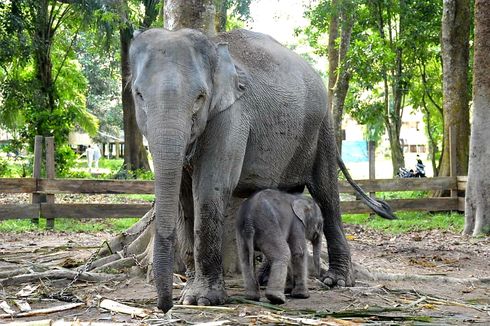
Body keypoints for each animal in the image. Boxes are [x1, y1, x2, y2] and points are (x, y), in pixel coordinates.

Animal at [129, 27, 394, 310]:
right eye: (138, 95)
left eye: (200, 97)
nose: (164, 305)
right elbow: (183, 196)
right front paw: (188, 296)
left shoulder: (232, 116)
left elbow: (210, 188)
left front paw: (203, 299)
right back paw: (272, 280)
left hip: (322, 127)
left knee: (326, 194)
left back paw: (337, 280)